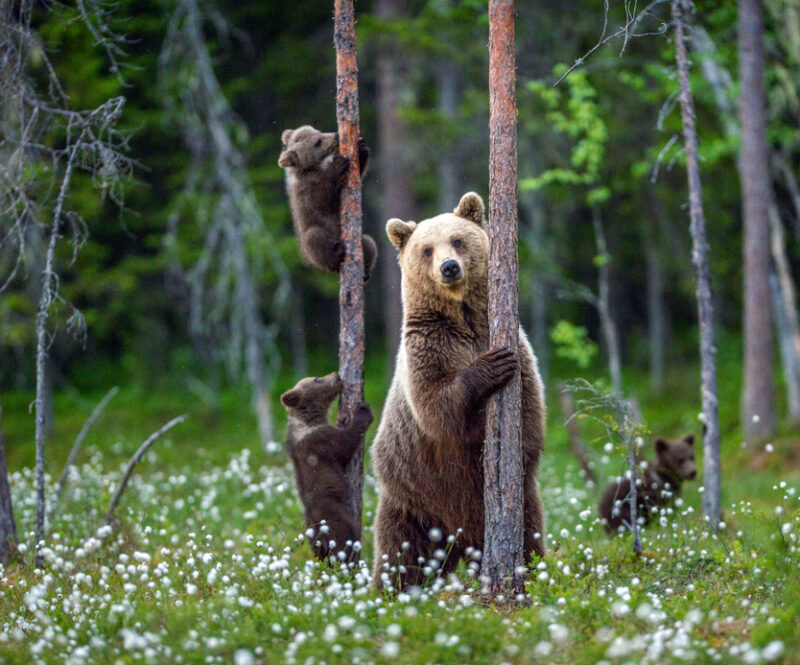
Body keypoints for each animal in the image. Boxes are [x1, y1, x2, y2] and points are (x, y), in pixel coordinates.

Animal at [278, 125, 378, 280]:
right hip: (312, 243)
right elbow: (322, 200)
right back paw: (337, 254)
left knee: (369, 242)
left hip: (361, 241)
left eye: (318, 131)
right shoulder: (306, 191)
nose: (336, 135)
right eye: (317, 142)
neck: (313, 168)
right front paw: (338, 163)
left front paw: (361, 147)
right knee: (314, 238)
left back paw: (365, 271)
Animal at [282, 374, 376, 560]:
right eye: (317, 379)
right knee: (346, 543)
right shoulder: (322, 442)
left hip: (312, 538)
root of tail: (321, 535)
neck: (309, 420)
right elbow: (346, 443)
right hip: (338, 522)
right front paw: (363, 410)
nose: (337, 375)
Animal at [372, 192, 548, 592]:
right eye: (426, 249)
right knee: (399, 552)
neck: (463, 319)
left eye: (457, 240)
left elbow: (530, 411)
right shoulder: (428, 347)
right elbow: (437, 407)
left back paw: (532, 572)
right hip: (413, 498)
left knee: (529, 533)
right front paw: (490, 366)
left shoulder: (516, 345)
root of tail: (460, 540)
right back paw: (388, 591)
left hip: (518, 503)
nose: (449, 267)